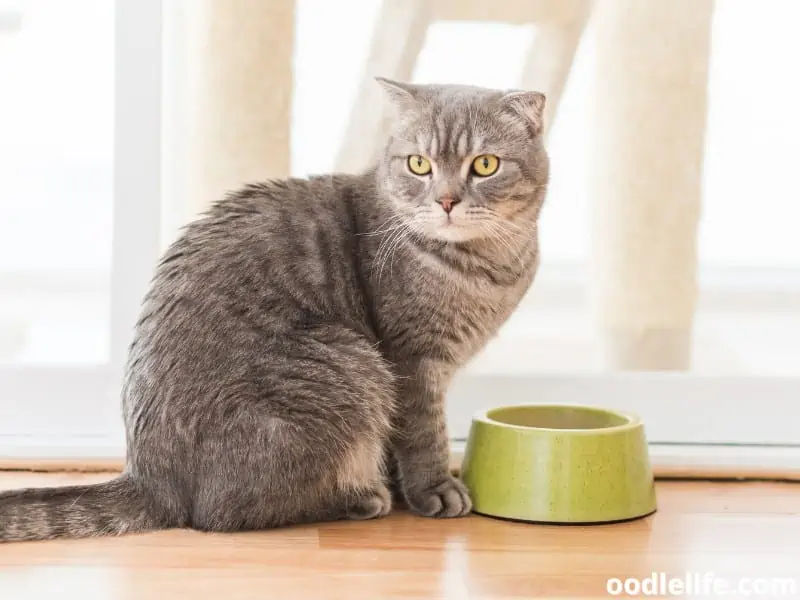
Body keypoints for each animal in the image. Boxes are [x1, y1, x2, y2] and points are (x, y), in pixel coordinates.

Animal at [0, 77, 548, 540]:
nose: (447, 200)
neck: (488, 265)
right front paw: (433, 489)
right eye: (419, 165)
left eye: (484, 165)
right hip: (352, 361)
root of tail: (149, 477)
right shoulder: (412, 361)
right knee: (222, 514)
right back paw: (360, 497)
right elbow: (424, 433)